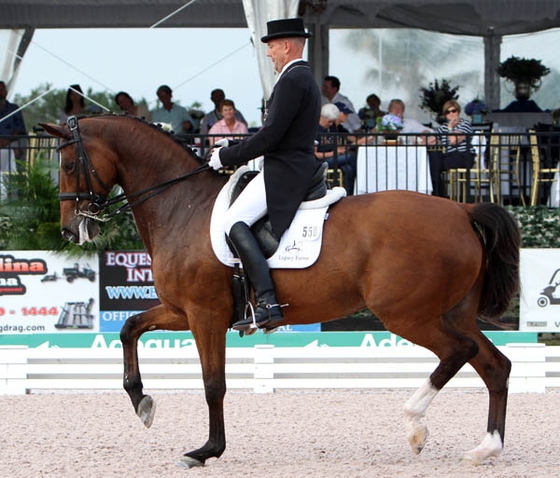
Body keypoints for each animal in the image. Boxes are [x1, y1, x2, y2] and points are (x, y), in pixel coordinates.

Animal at [42, 115, 520, 466]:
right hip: (450, 312)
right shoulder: (182, 309)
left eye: (68, 165)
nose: (69, 229)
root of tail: (462, 209)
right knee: (493, 364)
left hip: (407, 314)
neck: (182, 205)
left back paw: (415, 424)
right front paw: (142, 401)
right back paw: (487, 447)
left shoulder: (204, 314)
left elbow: (213, 383)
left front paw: (207, 450)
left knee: (458, 352)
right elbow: (130, 328)